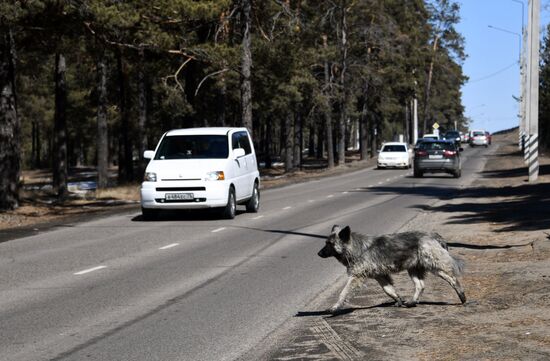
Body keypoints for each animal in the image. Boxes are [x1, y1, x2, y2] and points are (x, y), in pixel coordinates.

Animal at [316, 225, 468, 312]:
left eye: (329, 244)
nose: (318, 253)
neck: (355, 247)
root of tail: (434, 235)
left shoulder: (356, 277)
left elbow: (344, 292)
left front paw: (336, 306)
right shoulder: (380, 276)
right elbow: (388, 290)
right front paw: (398, 300)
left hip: (434, 266)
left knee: (452, 278)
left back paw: (462, 296)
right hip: (413, 269)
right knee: (420, 285)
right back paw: (412, 302)